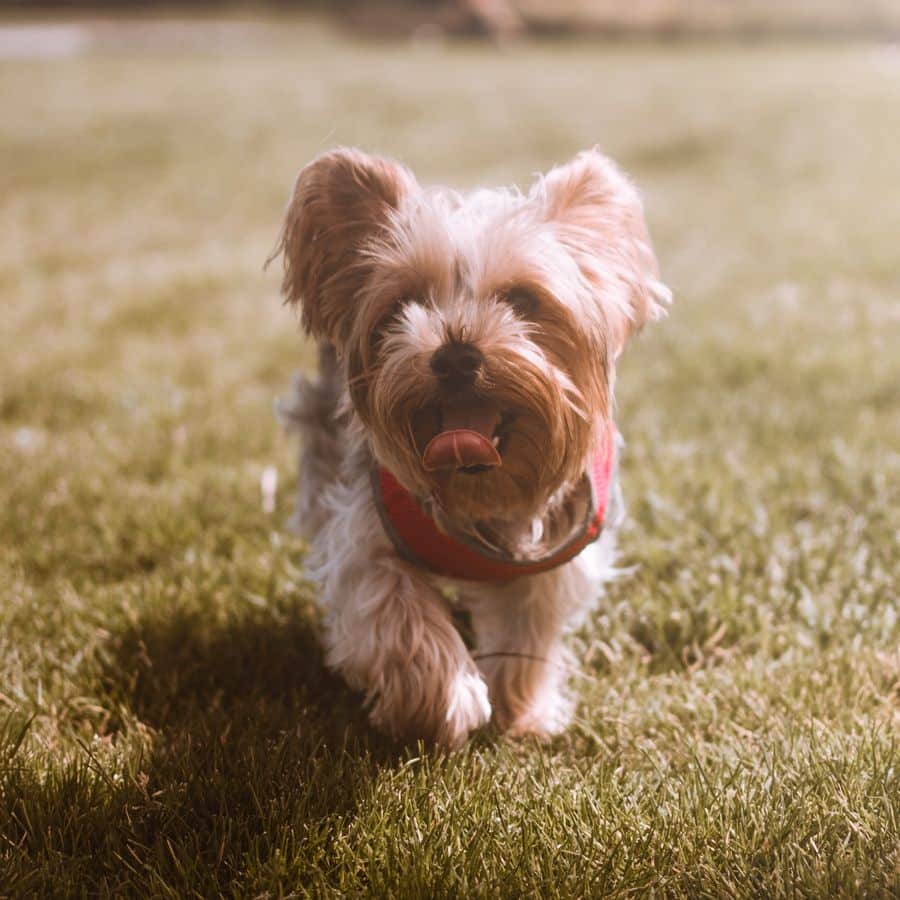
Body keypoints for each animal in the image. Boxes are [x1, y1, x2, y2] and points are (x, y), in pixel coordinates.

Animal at [270, 148, 672, 744]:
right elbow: (394, 608)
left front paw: (519, 712)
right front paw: (445, 700)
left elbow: (528, 627)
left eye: (523, 300)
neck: (484, 489)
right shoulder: (366, 527)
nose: (456, 354)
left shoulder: (555, 550)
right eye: (405, 303)